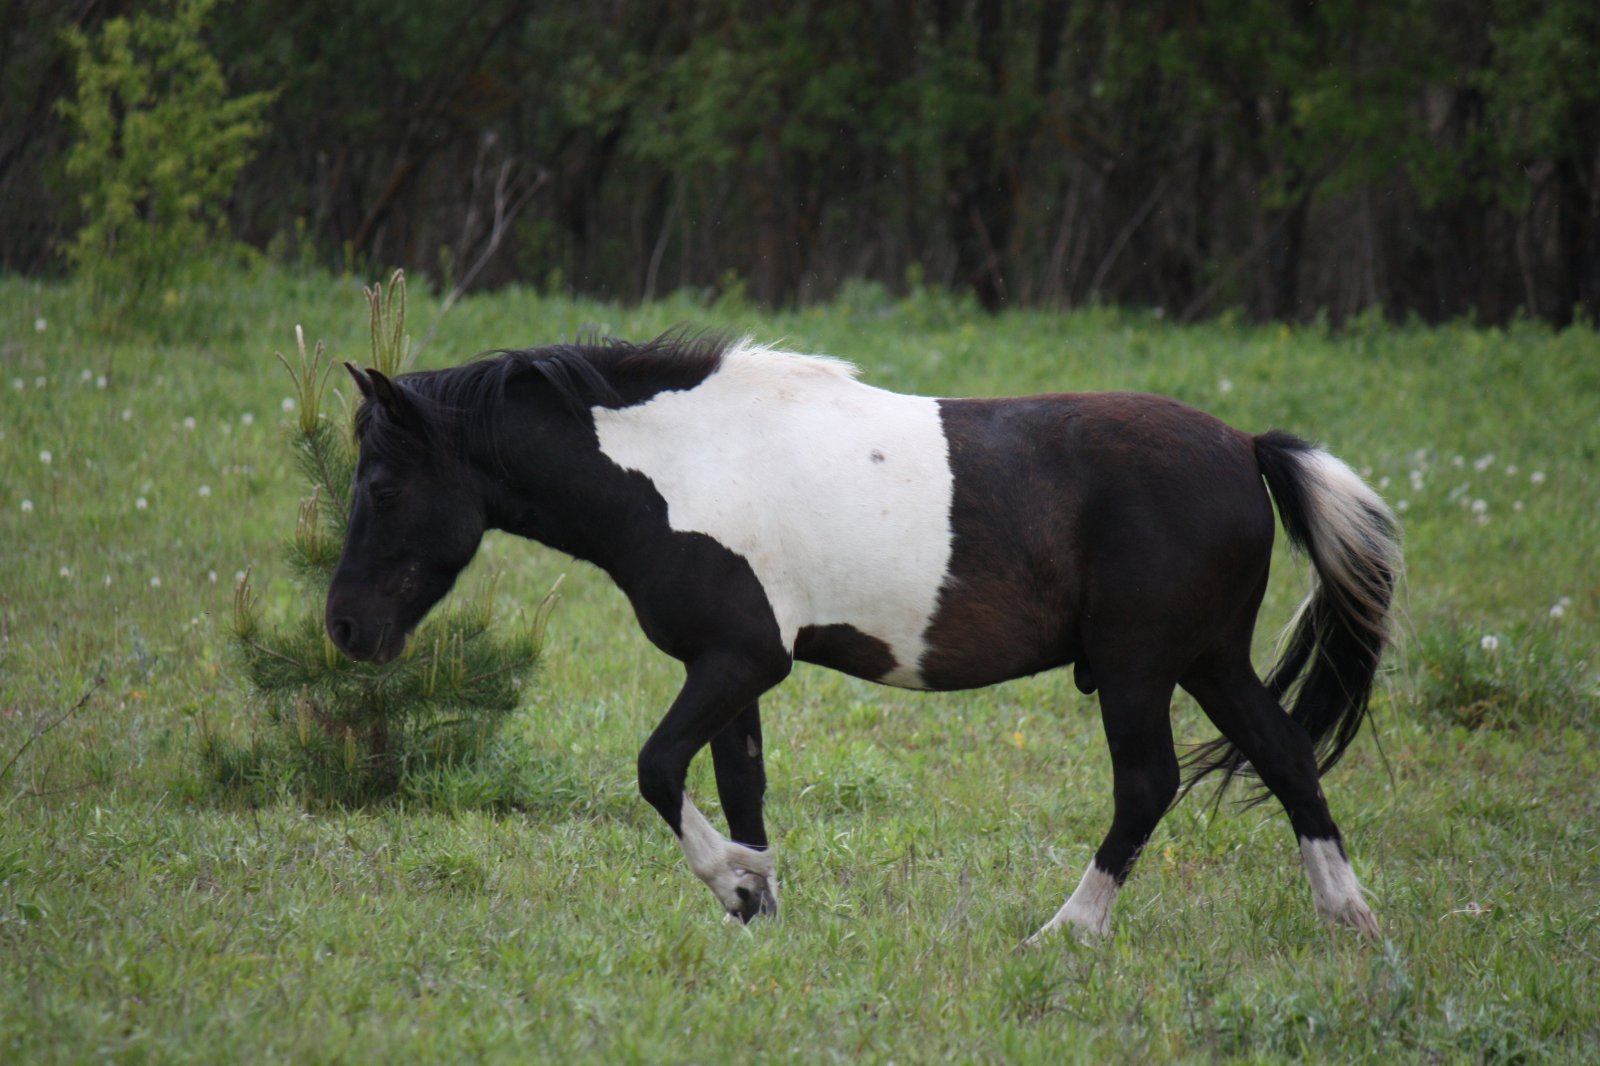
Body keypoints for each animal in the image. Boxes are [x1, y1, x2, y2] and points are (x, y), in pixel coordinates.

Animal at [325, 331, 1400, 940]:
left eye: (381, 487)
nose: (344, 628)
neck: (680, 467)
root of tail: (1244, 447)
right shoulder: (734, 672)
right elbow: (739, 785)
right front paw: (757, 910)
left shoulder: (740, 659)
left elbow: (658, 769)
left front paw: (737, 881)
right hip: (1209, 659)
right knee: (1286, 755)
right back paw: (1348, 918)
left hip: (1143, 666)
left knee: (1148, 786)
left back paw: (1070, 929)